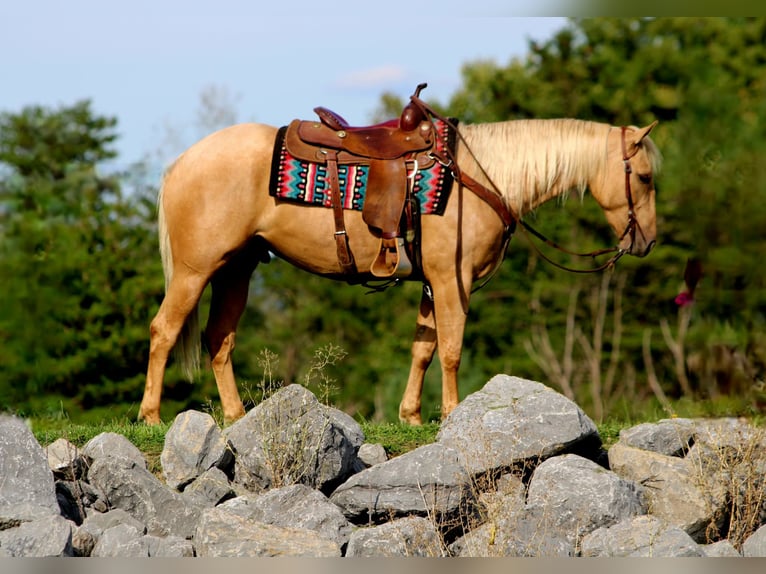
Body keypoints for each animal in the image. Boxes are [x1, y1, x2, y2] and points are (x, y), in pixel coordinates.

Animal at [138, 111, 661, 426]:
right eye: (645, 177)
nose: (647, 241)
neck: (479, 177)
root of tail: (180, 162)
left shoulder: (433, 282)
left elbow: (423, 349)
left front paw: (410, 415)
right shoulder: (452, 280)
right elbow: (450, 350)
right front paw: (450, 413)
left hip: (236, 270)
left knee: (218, 339)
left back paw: (234, 415)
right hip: (195, 271)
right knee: (164, 330)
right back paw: (151, 415)